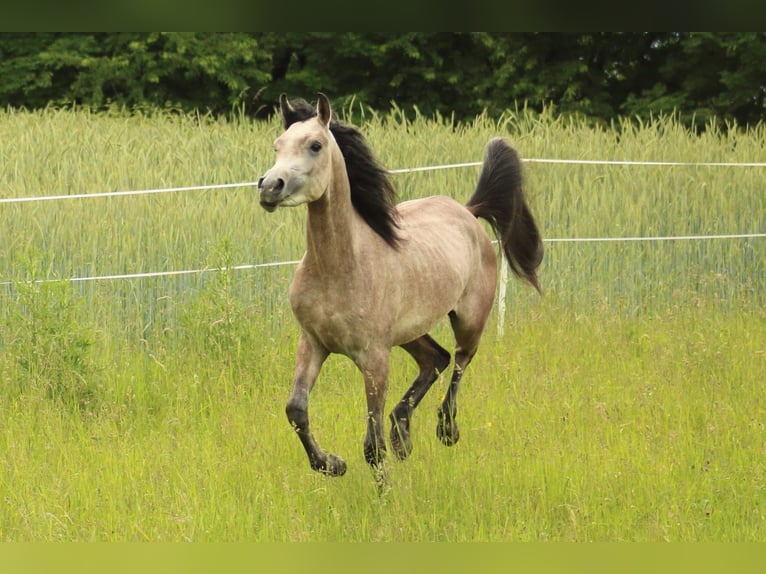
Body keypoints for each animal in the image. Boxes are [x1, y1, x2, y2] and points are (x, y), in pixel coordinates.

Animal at [255, 93, 544, 476]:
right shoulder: (313, 342)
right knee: (435, 358)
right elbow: (296, 410)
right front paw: (332, 464)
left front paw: (379, 482)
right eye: (278, 145)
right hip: (409, 332)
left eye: (315, 145)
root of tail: (469, 211)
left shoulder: (375, 359)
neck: (339, 267)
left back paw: (445, 429)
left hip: (470, 319)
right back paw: (402, 433)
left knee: (460, 360)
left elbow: (372, 445)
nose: (270, 187)